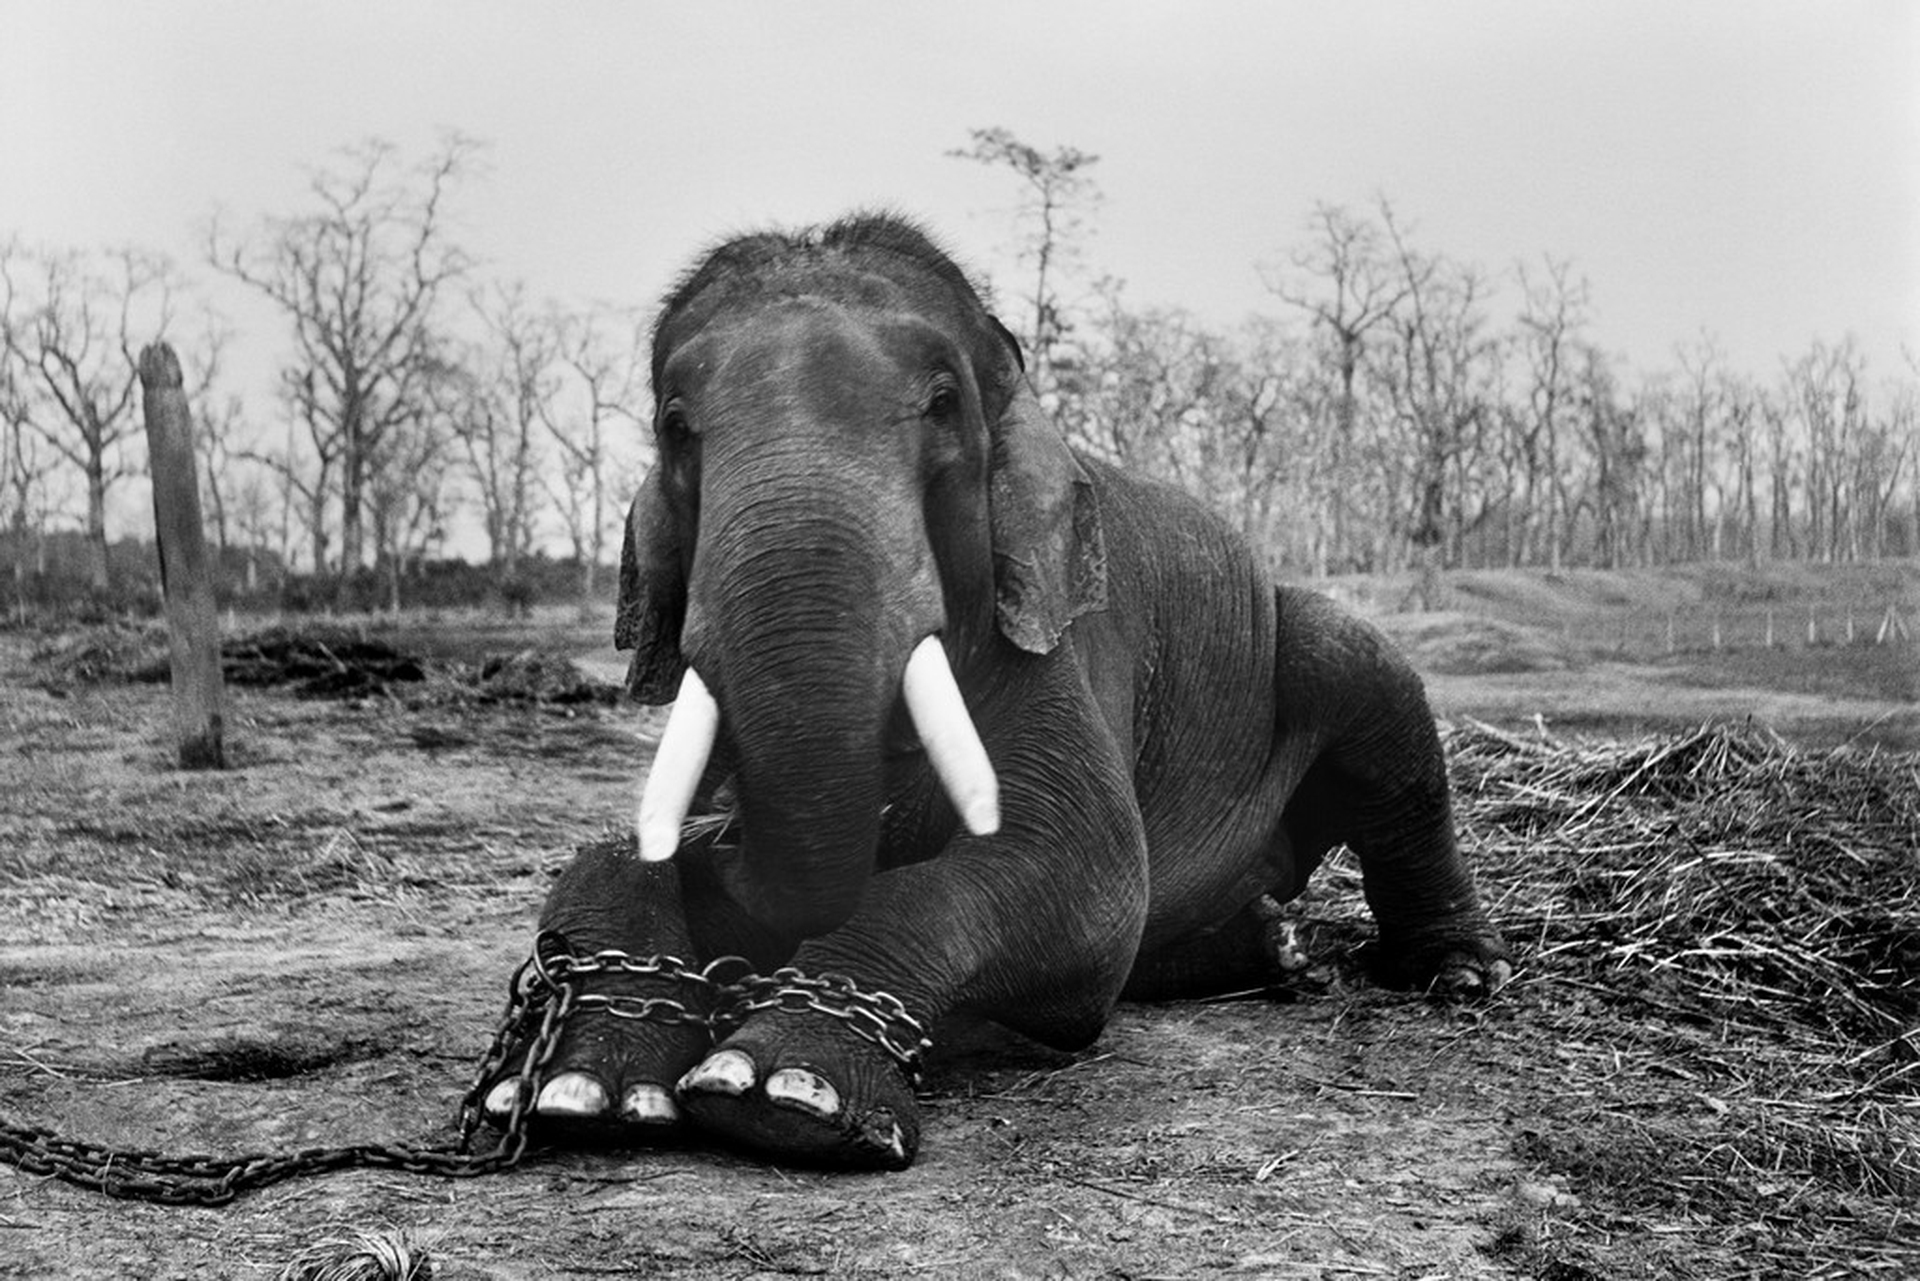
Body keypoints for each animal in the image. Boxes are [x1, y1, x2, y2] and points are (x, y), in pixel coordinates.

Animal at [480, 212, 1508, 1169]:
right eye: (674, 425)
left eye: (943, 403)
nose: (724, 847)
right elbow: (613, 855)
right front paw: (581, 1089)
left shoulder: (1056, 650)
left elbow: (1084, 875)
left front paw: (783, 1093)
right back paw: (1275, 947)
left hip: (1318, 655)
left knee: (1372, 700)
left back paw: (1459, 975)